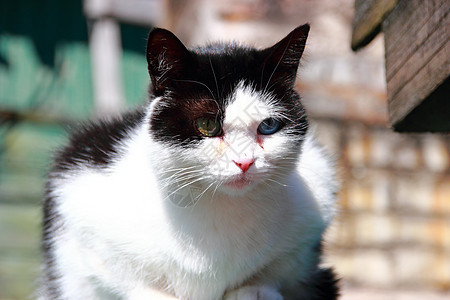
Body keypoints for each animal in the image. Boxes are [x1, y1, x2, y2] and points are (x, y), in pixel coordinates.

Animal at [40, 24, 340, 300]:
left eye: (268, 126)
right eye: (207, 125)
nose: (244, 162)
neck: (219, 207)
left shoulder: (312, 214)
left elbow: (277, 270)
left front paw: (253, 291)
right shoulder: (76, 190)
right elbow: (119, 274)